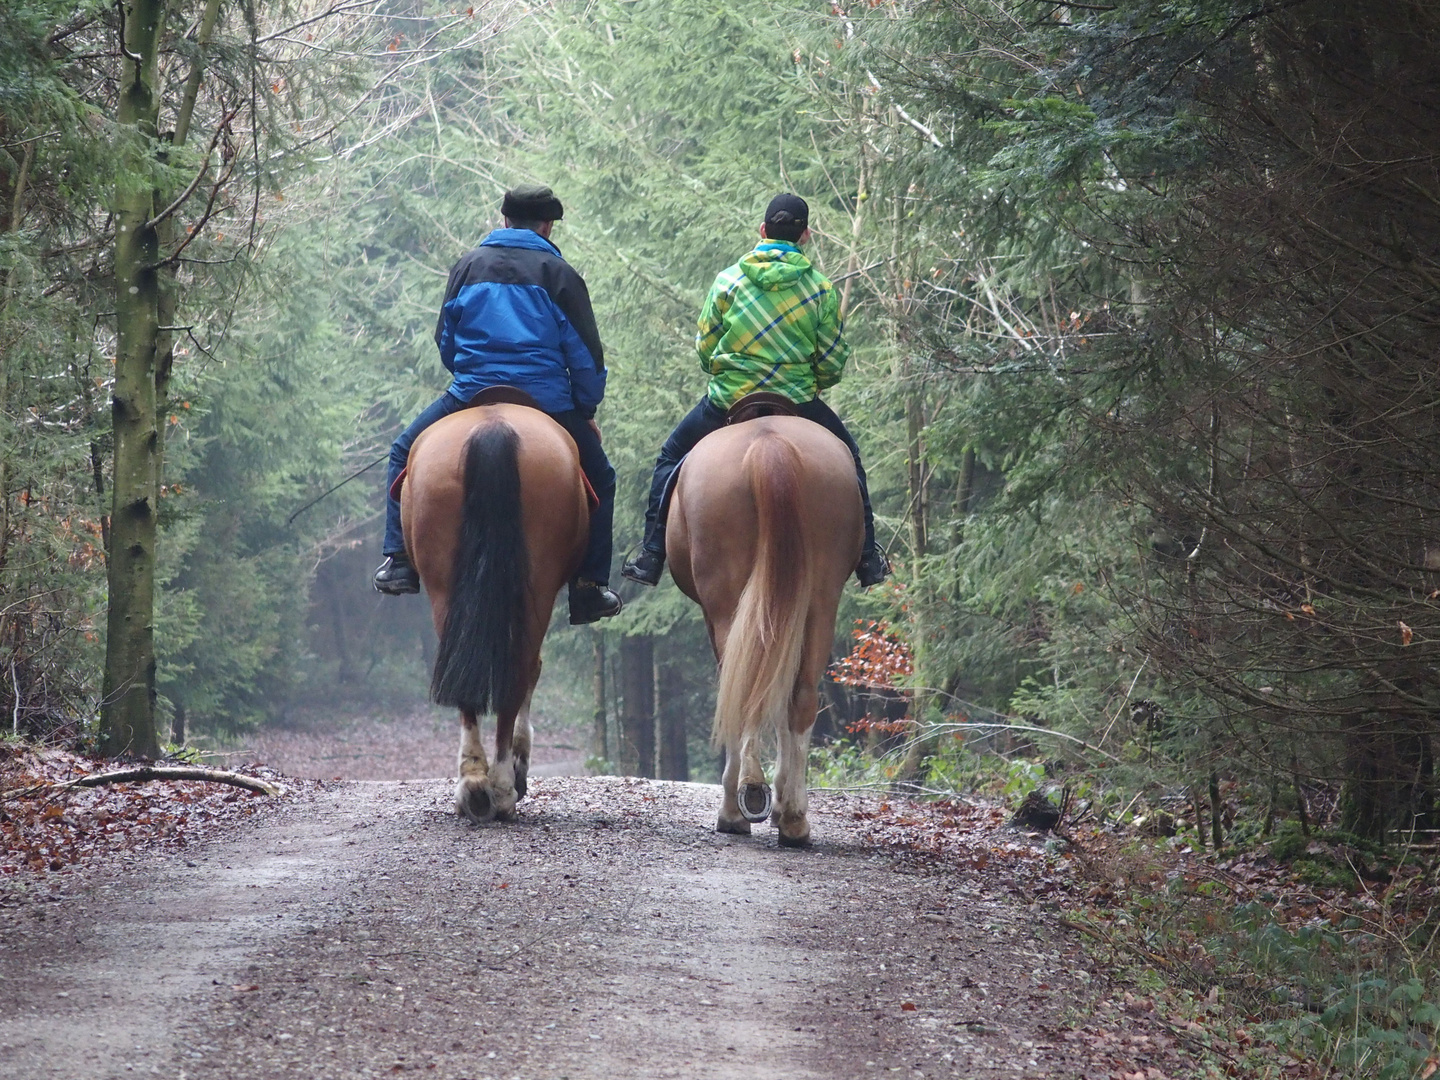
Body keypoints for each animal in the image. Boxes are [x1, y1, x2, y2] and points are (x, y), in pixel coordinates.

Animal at [400, 394, 584, 823]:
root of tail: (492, 428)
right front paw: (519, 766)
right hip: (537, 588)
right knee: (519, 671)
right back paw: (501, 785)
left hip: (445, 587)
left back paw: (474, 783)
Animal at [665, 408, 858, 852]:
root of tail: (769, 445)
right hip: (821, 600)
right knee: (801, 696)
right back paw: (794, 819)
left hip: (726, 602)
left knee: (741, 692)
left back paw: (740, 805)